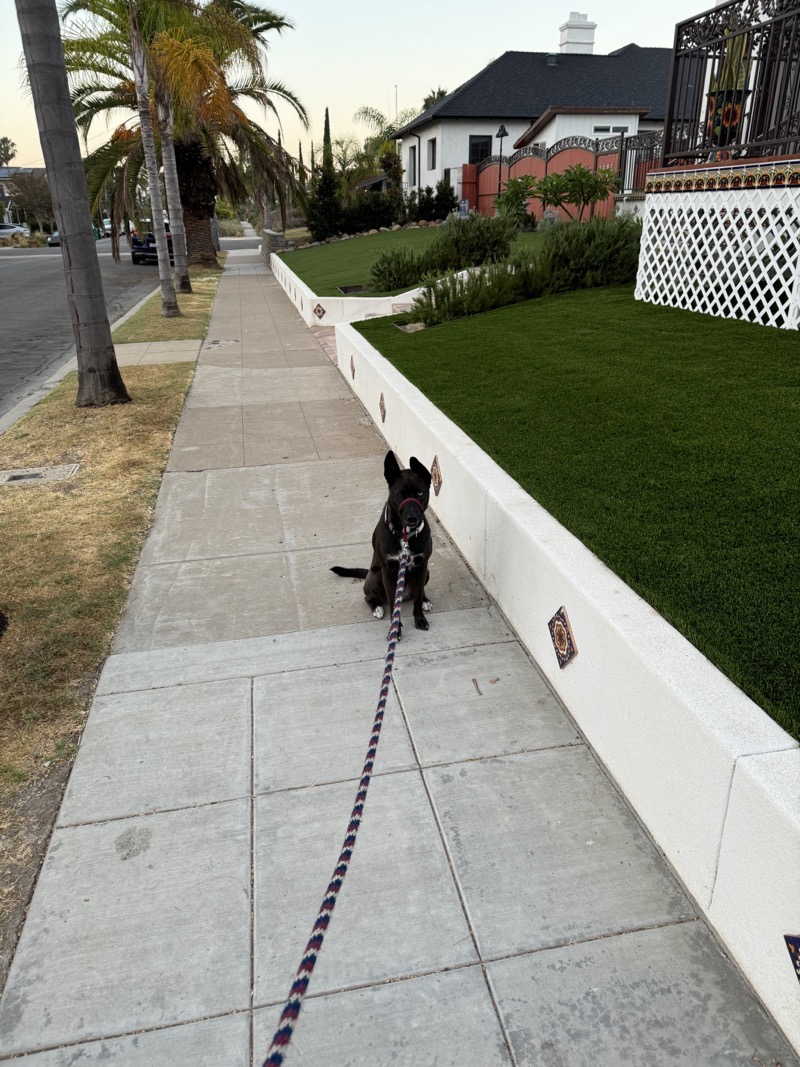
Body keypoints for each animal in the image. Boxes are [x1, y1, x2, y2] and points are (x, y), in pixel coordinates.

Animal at [330, 450, 435, 631]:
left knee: (418, 592)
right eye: (400, 494)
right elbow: (393, 604)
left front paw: (420, 617)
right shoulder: (388, 571)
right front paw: (395, 629)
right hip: (375, 576)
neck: (404, 536)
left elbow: (419, 597)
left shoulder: (422, 565)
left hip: (425, 572)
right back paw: (376, 607)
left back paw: (425, 601)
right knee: (368, 597)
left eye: (421, 493)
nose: (412, 518)